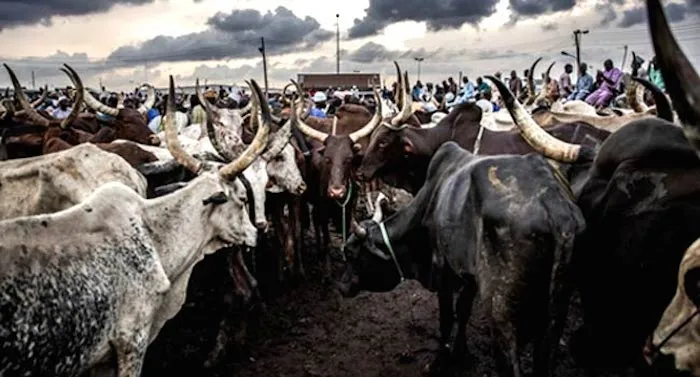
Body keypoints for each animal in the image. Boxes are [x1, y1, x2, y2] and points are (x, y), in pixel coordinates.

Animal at [340, 142, 584, 376]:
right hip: (555, 314)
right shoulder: (469, 276)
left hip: (500, 312)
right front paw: (460, 352)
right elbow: (463, 311)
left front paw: (440, 362)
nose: (342, 287)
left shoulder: (442, 271)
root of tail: (556, 208)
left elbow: (447, 319)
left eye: (351, 254)